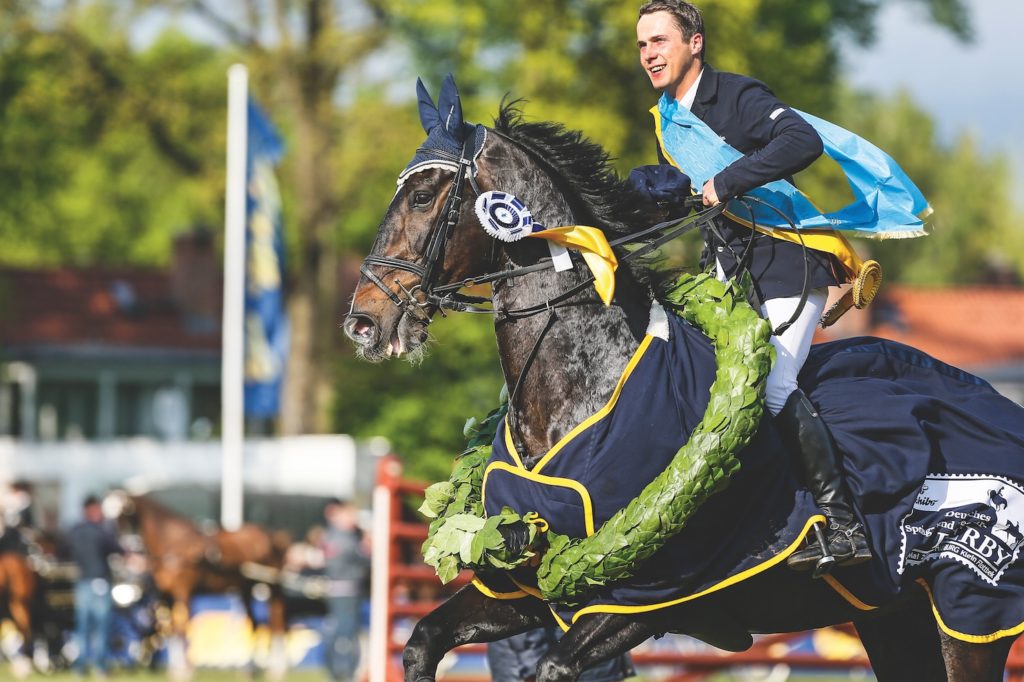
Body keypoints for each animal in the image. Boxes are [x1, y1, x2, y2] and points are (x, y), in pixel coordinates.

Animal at [104, 489, 292, 675]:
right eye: (106, 512)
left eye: (121, 512)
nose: (114, 539)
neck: (172, 542)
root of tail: (274, 536)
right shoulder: (166, 596)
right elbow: (172, 630)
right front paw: (175, 669)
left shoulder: (183, 591)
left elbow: (182, 629)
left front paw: (185, 671)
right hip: (245, 588)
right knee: (254, 623)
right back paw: (250, 670)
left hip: (273, 586)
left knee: (277, 621)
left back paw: (277, 669)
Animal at [346, 76, 1024, 675]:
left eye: (423, 197)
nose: (363, 323)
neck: (583, 387)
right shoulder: (523, 582)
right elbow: (423, 641)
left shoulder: (643, 597)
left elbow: (555, 665)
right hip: (892, 616)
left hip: (971, 616)